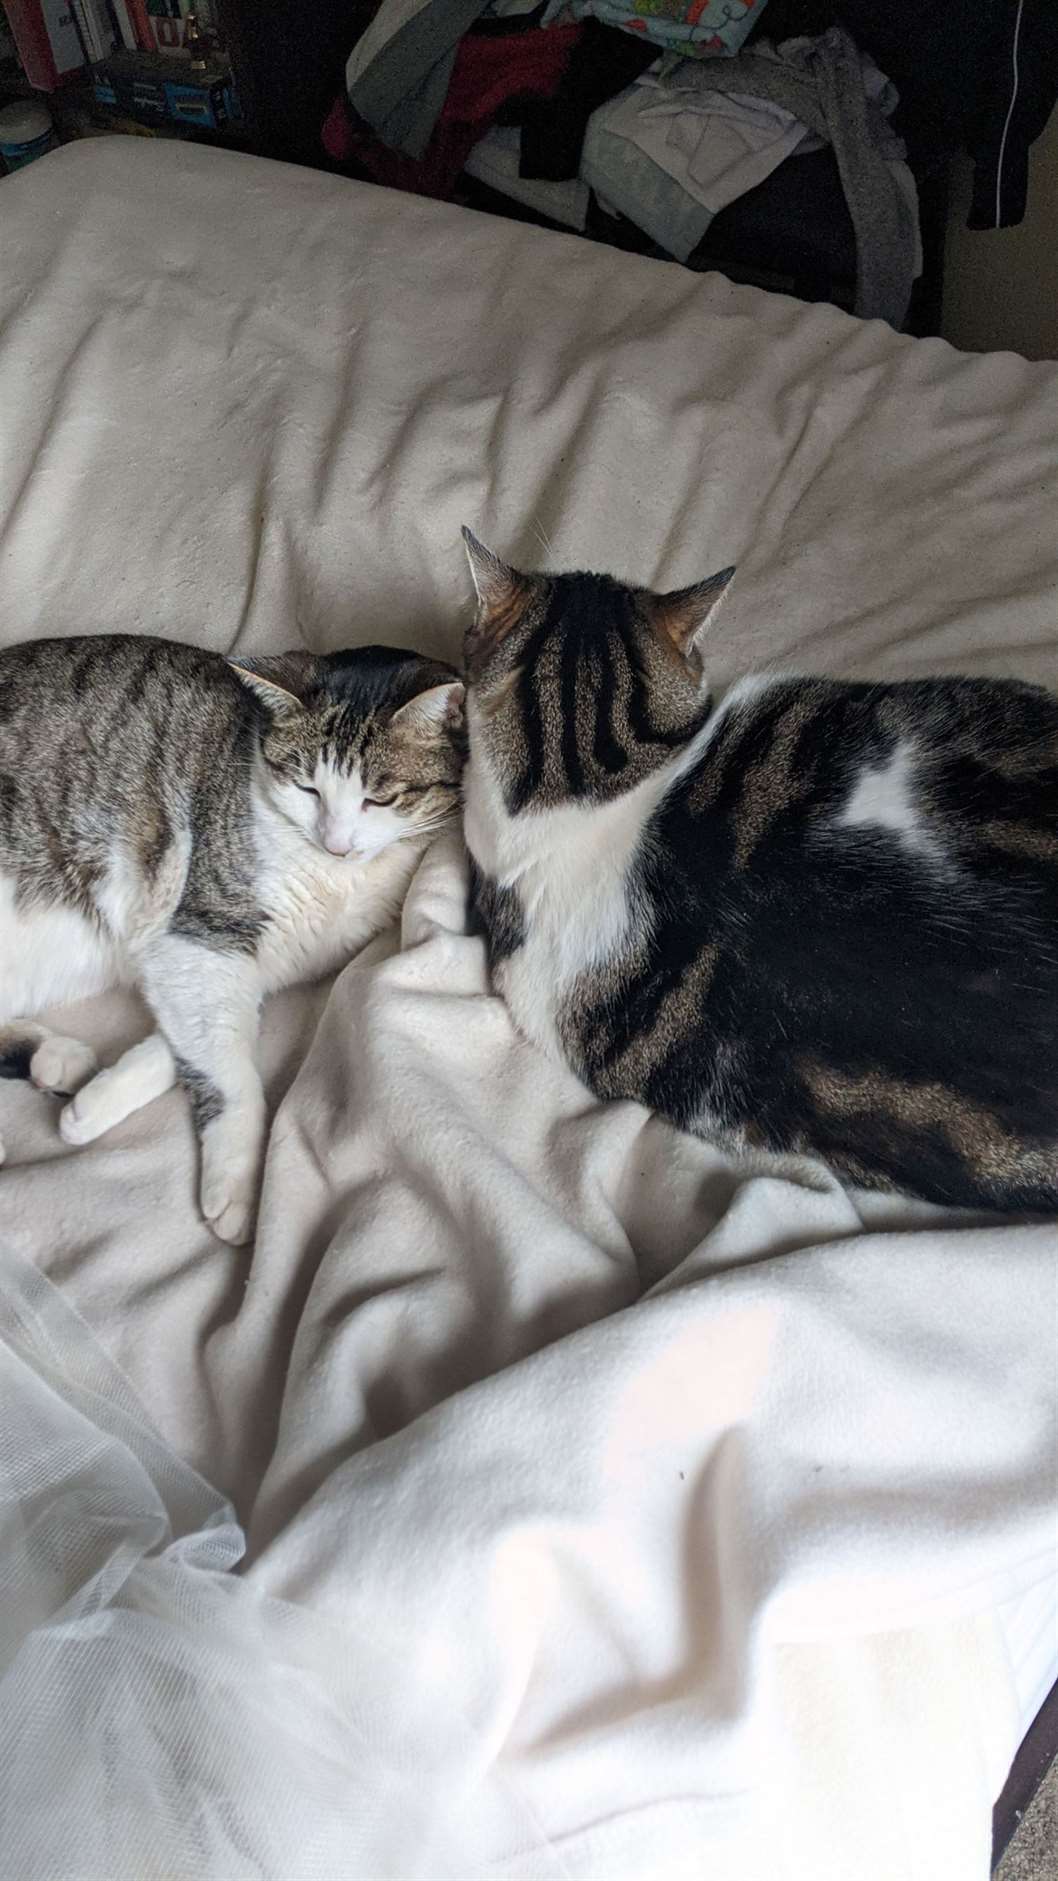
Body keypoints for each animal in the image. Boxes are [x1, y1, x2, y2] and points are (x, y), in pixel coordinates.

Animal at [0, 635, 465, 1242]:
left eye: (378, 800)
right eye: (308, 788)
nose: (336, 843)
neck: (336, 879)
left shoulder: (251, 960)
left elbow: (198, 1038)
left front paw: (98, 1100)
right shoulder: (200, 934)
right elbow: (229, 1062)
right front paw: (238, 1183)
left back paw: (57, 1060)